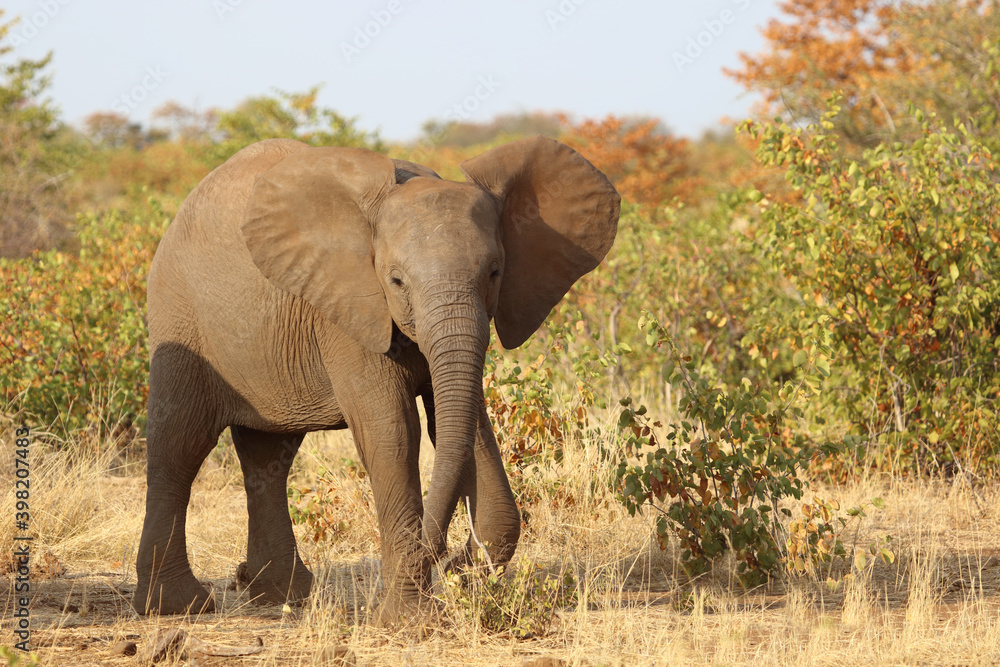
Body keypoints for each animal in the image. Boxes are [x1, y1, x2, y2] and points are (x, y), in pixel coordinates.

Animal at [133, 134, 616, 628]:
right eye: (396, 280)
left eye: (495, 272)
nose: (447, 557)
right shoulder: (349, 307)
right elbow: (393, 431)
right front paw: (410, 620)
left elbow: (465, 426)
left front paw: (459, 575)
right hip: (180, 314)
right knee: (180, 444)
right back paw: (177, 606)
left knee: (268, 455)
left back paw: (279, 595)